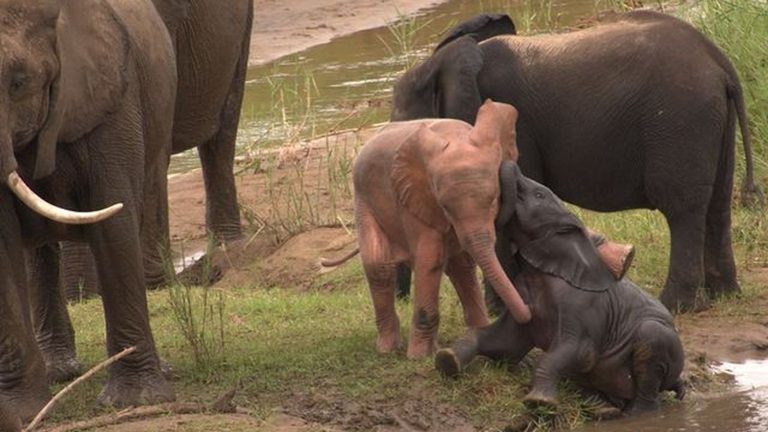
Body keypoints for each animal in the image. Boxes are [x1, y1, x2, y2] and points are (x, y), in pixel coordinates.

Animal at [392, 11, 764, 314]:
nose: (402, 300)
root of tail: (720, 63)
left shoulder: (510, 125)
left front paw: (507, 311)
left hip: (679, 118)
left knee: (682, 208)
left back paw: (676, 306)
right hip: (710, 121)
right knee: (717, 202)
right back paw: (724, 294)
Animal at [438, 162, 684, 416]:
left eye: (539, 195)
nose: (509, 164)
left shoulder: (582, 309)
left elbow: (576, 353)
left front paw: (538, 403)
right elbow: (505, 343)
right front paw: (446, 359)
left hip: (662, 341)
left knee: (650, 351)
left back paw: (639, 415)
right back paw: (603, 410)